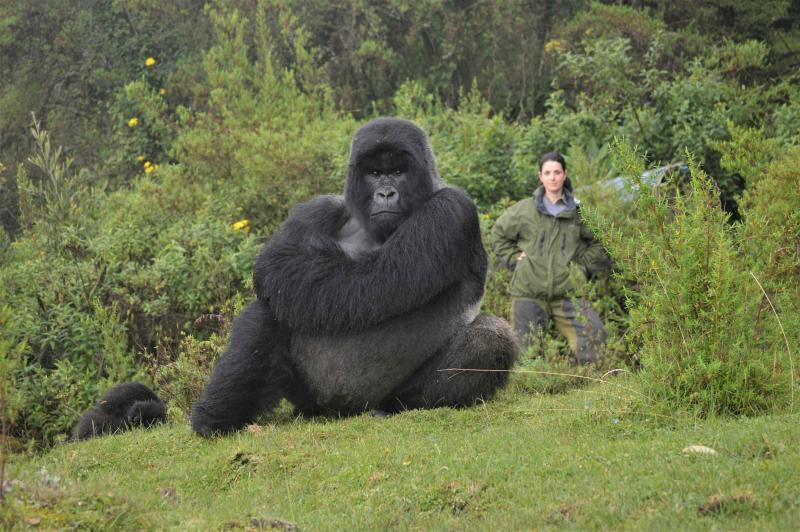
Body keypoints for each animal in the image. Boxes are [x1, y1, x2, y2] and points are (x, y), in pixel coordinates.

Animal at [189, 117, 520, 436]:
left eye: (398, 171)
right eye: (374, 173)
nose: (385, 193)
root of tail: (340, 412)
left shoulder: (451, 209)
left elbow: (376, 279)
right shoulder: (320, 207)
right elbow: (278, 262)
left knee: (490, 338)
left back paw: (397, 406)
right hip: (307, 397)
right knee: (270, 309)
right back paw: (218, 418)